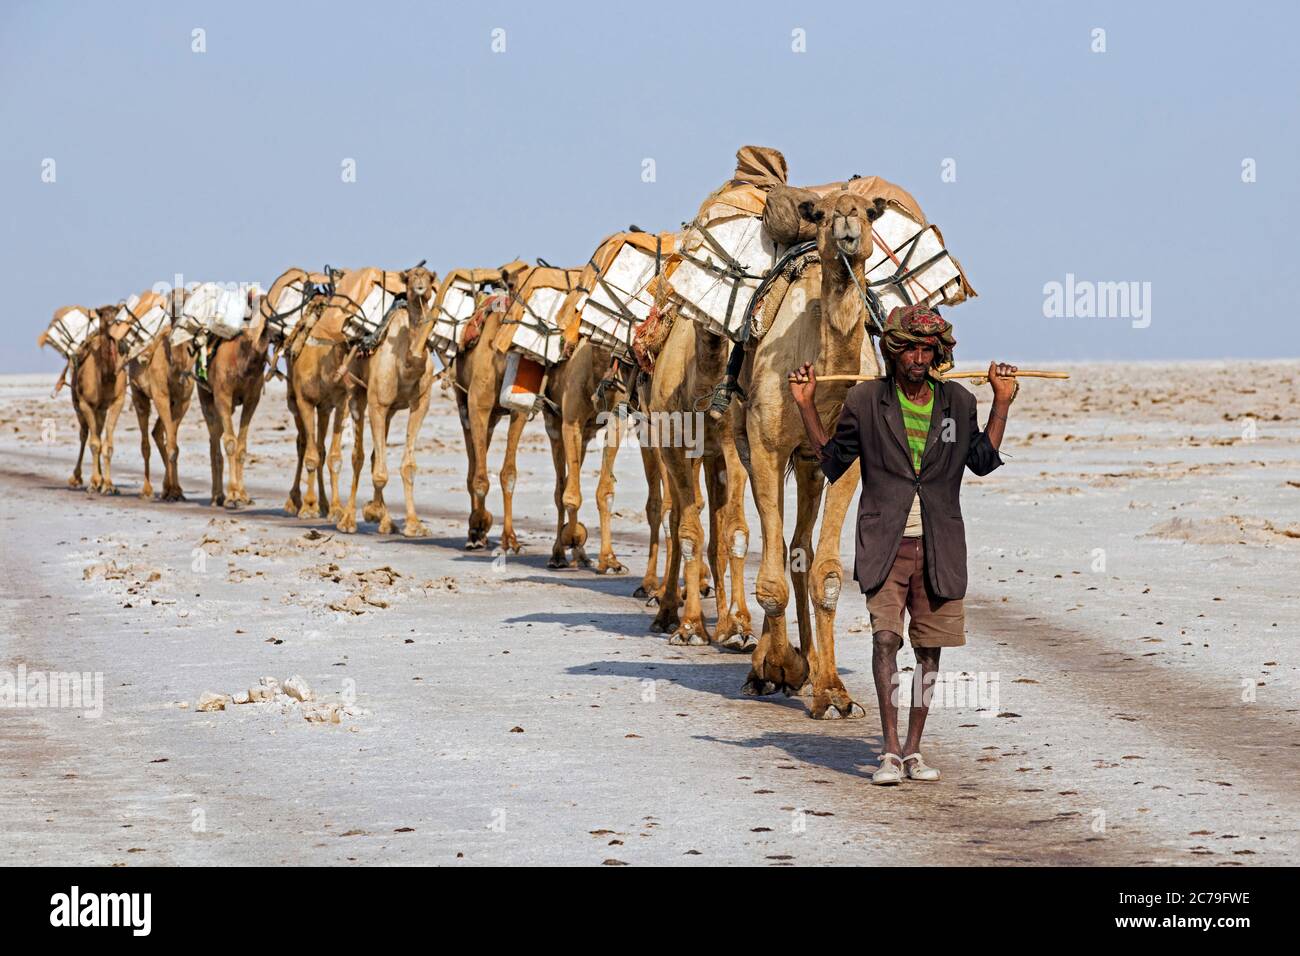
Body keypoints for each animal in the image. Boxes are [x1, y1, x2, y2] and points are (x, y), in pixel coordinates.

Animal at [127, 290, 196, 501]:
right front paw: (172, 491)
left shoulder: (183, 401)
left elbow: (173, 445)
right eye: (172, 300)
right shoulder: (161, 395)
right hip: (139, 394)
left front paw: (175, 490)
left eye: (188, 298)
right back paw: (146, 490)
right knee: (145, 442)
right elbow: (171, 445)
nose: (178, 314)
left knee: (158, 433)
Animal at [198, 288, 272, 507]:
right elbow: (230, 443)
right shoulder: (222, 395)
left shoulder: (252, 400)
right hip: (206, 397)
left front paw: (244, 495)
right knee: (214, 439)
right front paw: (232, 495)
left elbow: (241, 445)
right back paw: (217, 496)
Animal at [734, 188, 886, 717]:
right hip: (752, 445)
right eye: (818, 213)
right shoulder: (765, 445)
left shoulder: (846, 461)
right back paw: (770, 667)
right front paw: (780, 668)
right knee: (774, 543)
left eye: (869, 210)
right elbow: (771, 581)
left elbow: (828, 575)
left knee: (799, 546)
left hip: (809, 463)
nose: (845, 223)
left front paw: (834, 690)